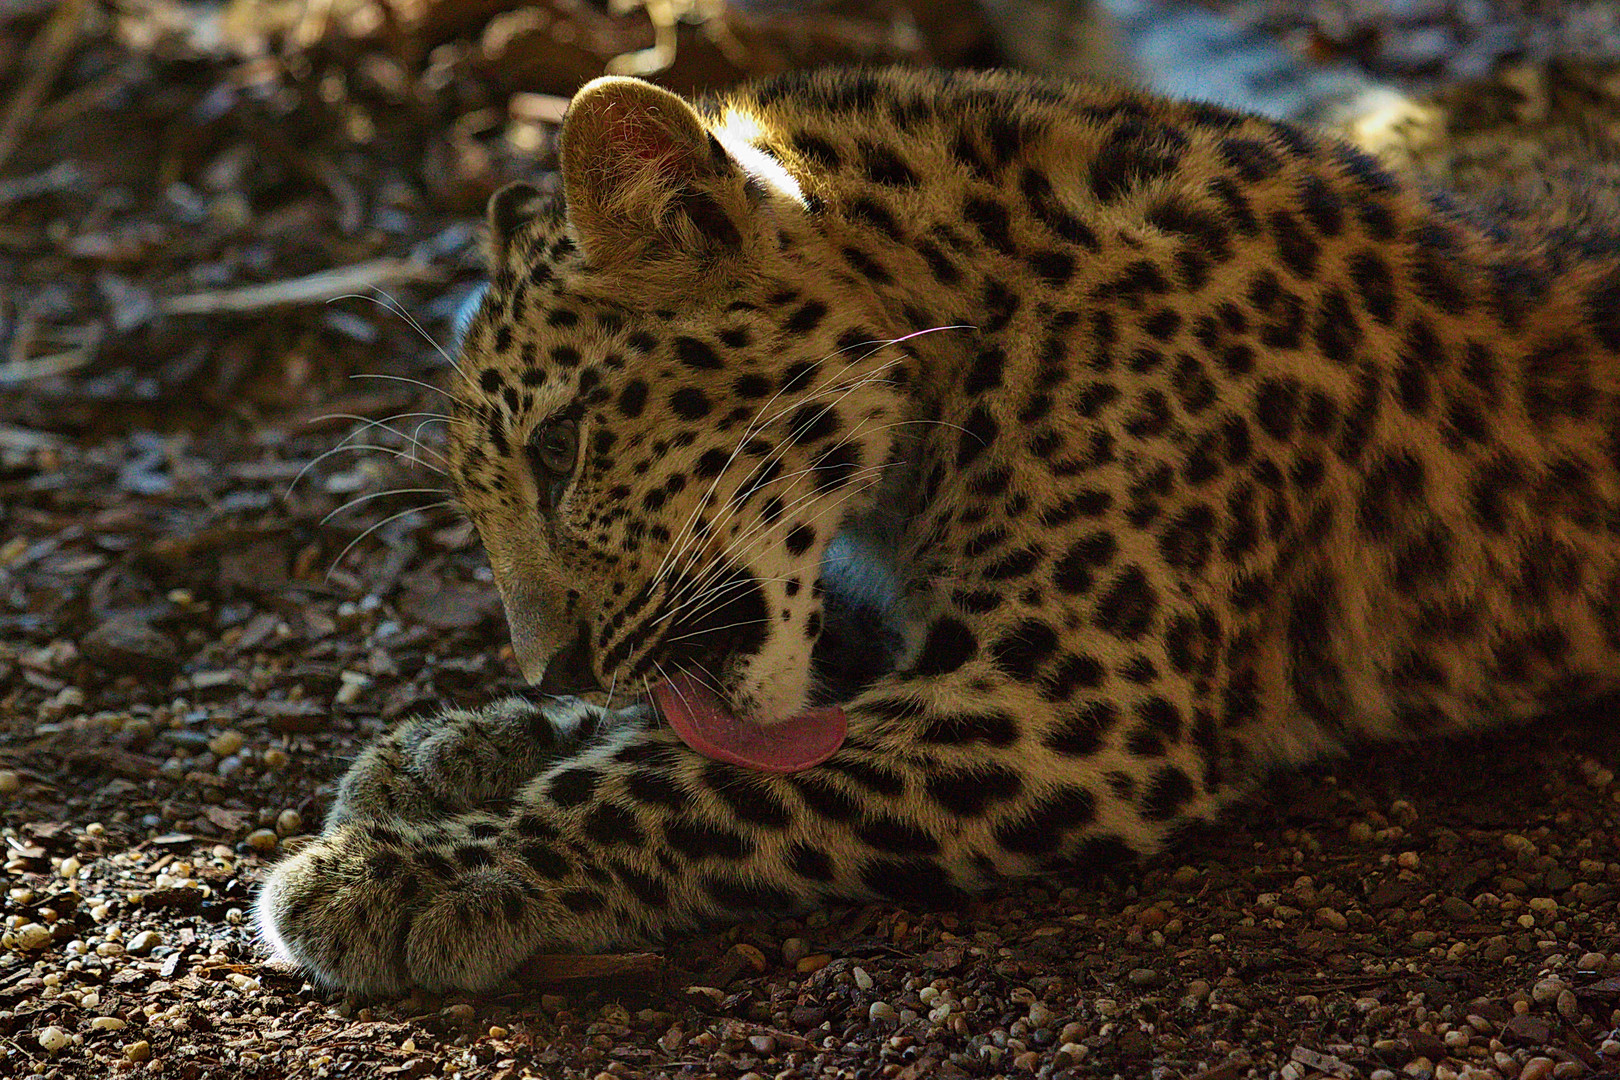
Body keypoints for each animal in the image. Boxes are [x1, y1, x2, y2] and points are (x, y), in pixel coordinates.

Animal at [249, 65, 1620, 997]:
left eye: (560, 449)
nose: (551, 664)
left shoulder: (1072, 706)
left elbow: (687, 781)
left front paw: (410, 874)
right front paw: (459, 748)